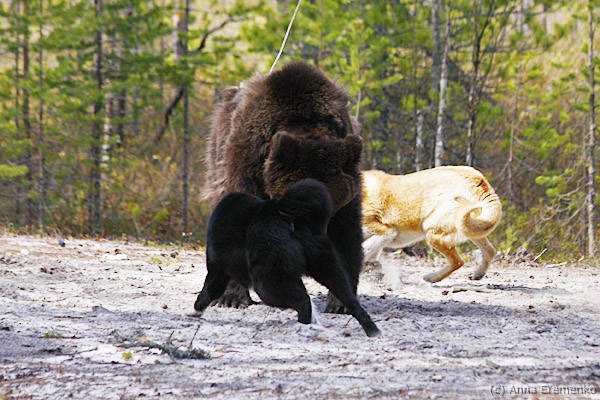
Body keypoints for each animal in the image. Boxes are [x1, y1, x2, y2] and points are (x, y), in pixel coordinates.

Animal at [192, 179, 381, 337]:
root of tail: (278, 212)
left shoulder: (217, 270)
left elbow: (207, 292)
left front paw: (194, 312)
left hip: (266, 282)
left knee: (303, 302)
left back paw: (303, 327)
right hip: (329, 269)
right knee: (351, 301)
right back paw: (373, 331)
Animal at [203, 61, 364, 313]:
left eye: (334, 206)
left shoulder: (347, 194)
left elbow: (346, 236)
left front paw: (341, 302)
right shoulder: (247, 165)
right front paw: (232, 297)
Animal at [361, 166, 502, 283]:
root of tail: (477, 179)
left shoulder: (387, 232)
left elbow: (366, 249)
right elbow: (372, 254)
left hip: (432, 232)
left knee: (458, 262)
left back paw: (432, 278)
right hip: (472, 229)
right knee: (489, 252)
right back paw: (477, 274)